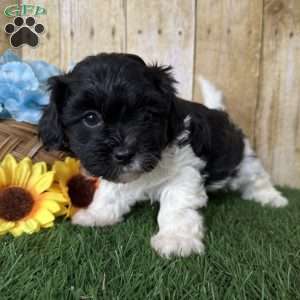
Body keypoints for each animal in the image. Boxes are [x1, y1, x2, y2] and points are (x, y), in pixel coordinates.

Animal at [38, 53, 288, 258]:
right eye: (91, 118)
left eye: (146, 115)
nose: (124, 154)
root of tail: (221, 113)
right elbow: (110, 192)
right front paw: (98, 215)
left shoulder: (185, 171)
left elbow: (176, 204)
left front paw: (177, 239)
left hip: (243, 158)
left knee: (257, 178)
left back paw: (273, 198)